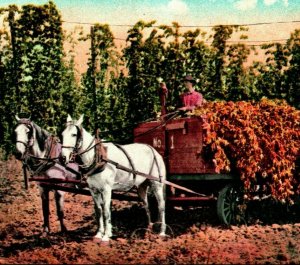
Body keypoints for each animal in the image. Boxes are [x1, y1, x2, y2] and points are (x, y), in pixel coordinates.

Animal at [60, 113, 166, 241]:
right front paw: (98, 234)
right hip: (142, 185)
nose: (63, 158)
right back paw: (148, 230)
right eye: (62, 134)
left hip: (157, 183)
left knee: (161, 205)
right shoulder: (94, 190)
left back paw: (162, 232)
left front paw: (106, 236)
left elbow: (106, 211)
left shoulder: (106, 189)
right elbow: (98, 211)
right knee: (146, 205)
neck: (97, 157)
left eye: (74, 134)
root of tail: (154, 151)